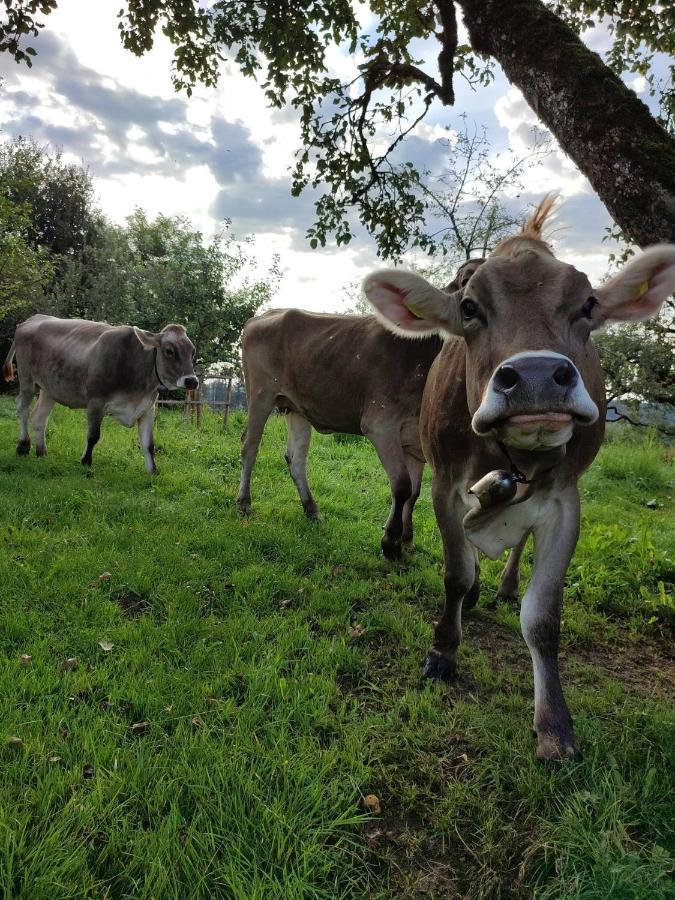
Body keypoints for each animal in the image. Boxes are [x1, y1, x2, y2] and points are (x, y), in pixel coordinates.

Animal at [2, 314, 198, 474]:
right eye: (169, 351)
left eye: (192, 351)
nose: (192, 381)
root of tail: (31, 319)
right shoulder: (95, 402)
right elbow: (93, 436)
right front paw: (86, 462)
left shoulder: (147, 408)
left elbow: (149, 444)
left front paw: (153, 471)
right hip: (26, 379)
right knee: (22, 410)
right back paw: (23, 445)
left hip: (49, 388)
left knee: (39, 417)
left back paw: (41, 451)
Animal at [236, 258, 480, 556]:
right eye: (465, 283)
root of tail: (263, 316)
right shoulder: (380, 425)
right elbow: (401, 486)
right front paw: (390, 542)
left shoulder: (414, 441)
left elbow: (414, 493)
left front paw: (407, 540)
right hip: (260, 395)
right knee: (249, 446)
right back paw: (244, 503)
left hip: (297, 408)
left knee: (295, 458)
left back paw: (312, 510)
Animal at [364, 197, 675, 760]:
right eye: (469, 307)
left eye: (587, 305)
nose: (535, 378)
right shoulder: (445, 482)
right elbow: (454, 572)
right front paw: (444, 649)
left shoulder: (565, 501)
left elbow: (544, 618)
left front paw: (554, 725)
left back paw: (506, 585)